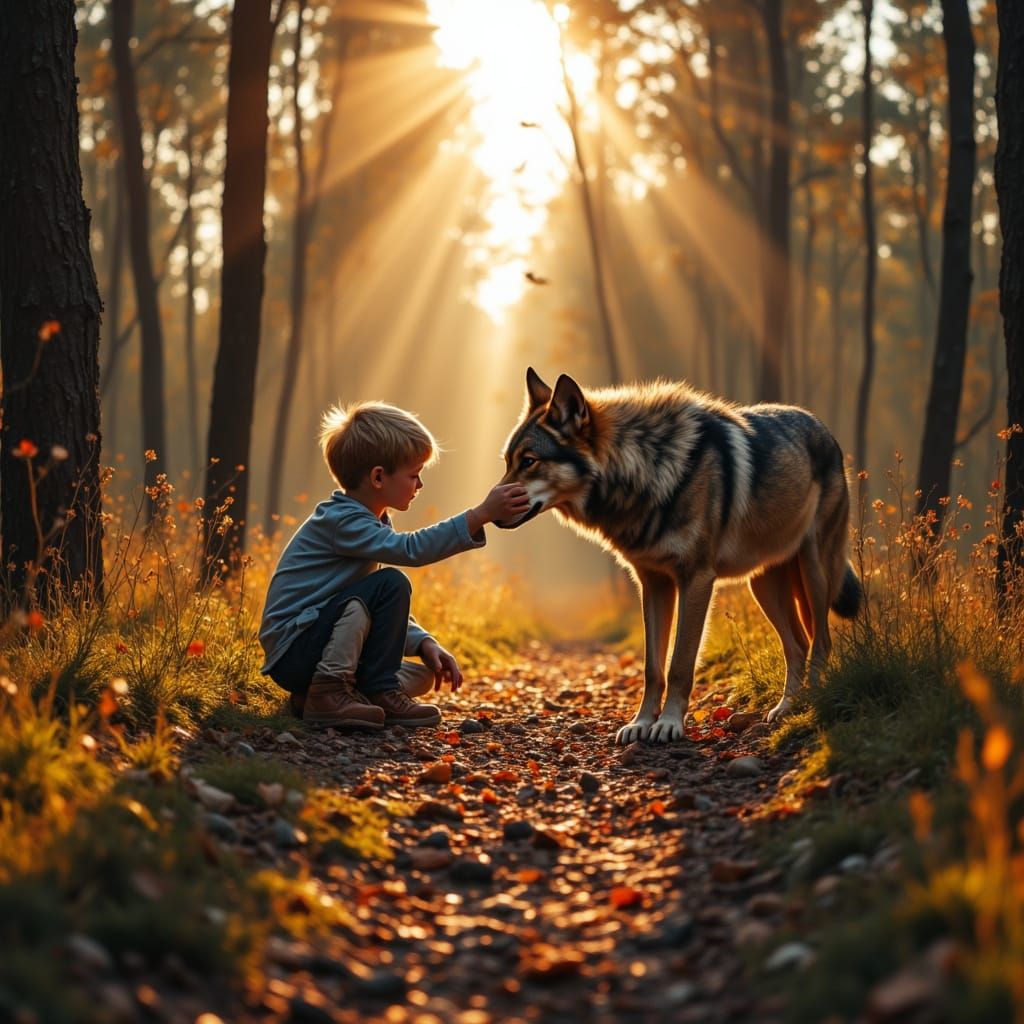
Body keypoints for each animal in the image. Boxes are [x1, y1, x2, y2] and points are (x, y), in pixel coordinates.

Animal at [496, 368, 862, 744]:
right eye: (508, 463)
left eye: (529, 462)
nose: (492, 508)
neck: (647, 469)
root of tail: (821, 426)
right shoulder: (653, 584)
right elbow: (652, 668)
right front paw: (641, 723)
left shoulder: (696, 580)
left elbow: (680, 664)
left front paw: (669, 723)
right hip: (763, 587)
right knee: (798, 646)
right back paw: (787, 707)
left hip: (814, 573)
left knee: (821, 642)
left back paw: (808, 704)